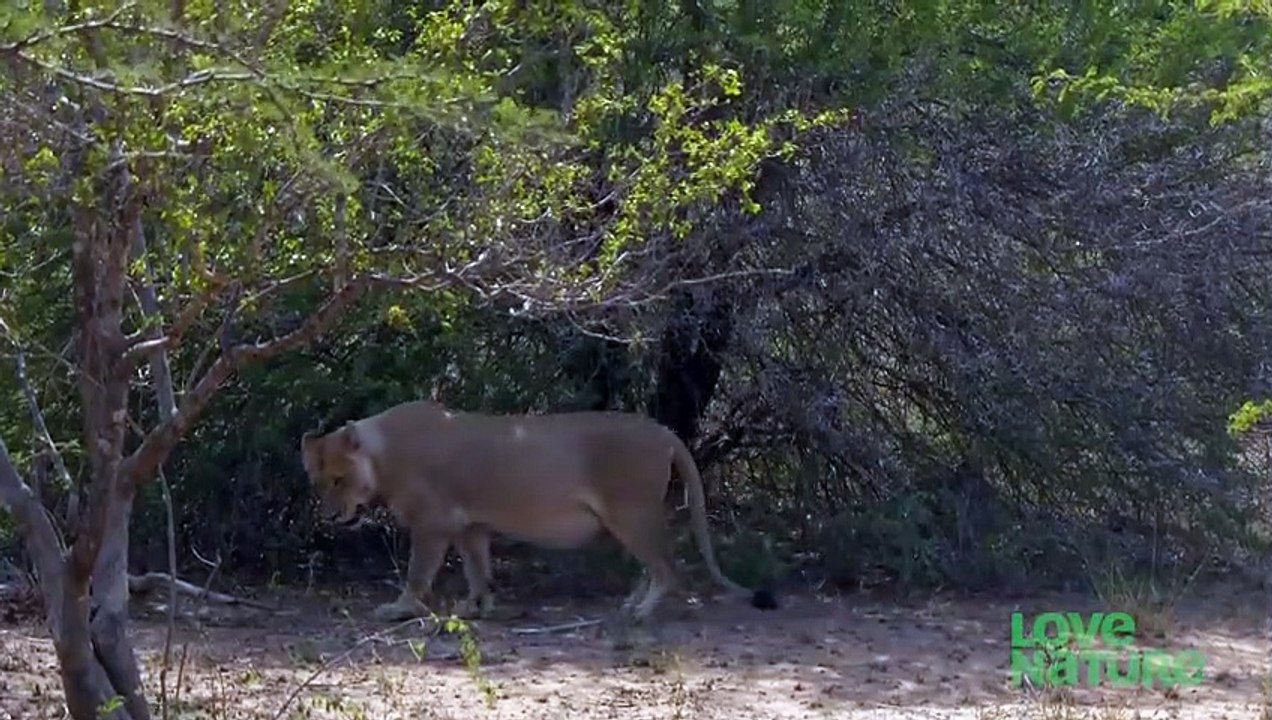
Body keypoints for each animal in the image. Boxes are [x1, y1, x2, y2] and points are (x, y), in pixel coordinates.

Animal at [299, 399, 776, 622]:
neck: (383, 456)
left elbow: (418, 573)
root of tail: (663, 430)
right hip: (631, 518)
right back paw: (630, 605)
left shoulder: (433, 524)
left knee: (668, 568)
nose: (331, 515)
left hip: (632, 513)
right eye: (318, 483)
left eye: (338, 479)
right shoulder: (471, 525)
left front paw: (398, 609)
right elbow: (478, 570)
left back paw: (639, 614)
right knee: (655, 564)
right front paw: (476, 607)